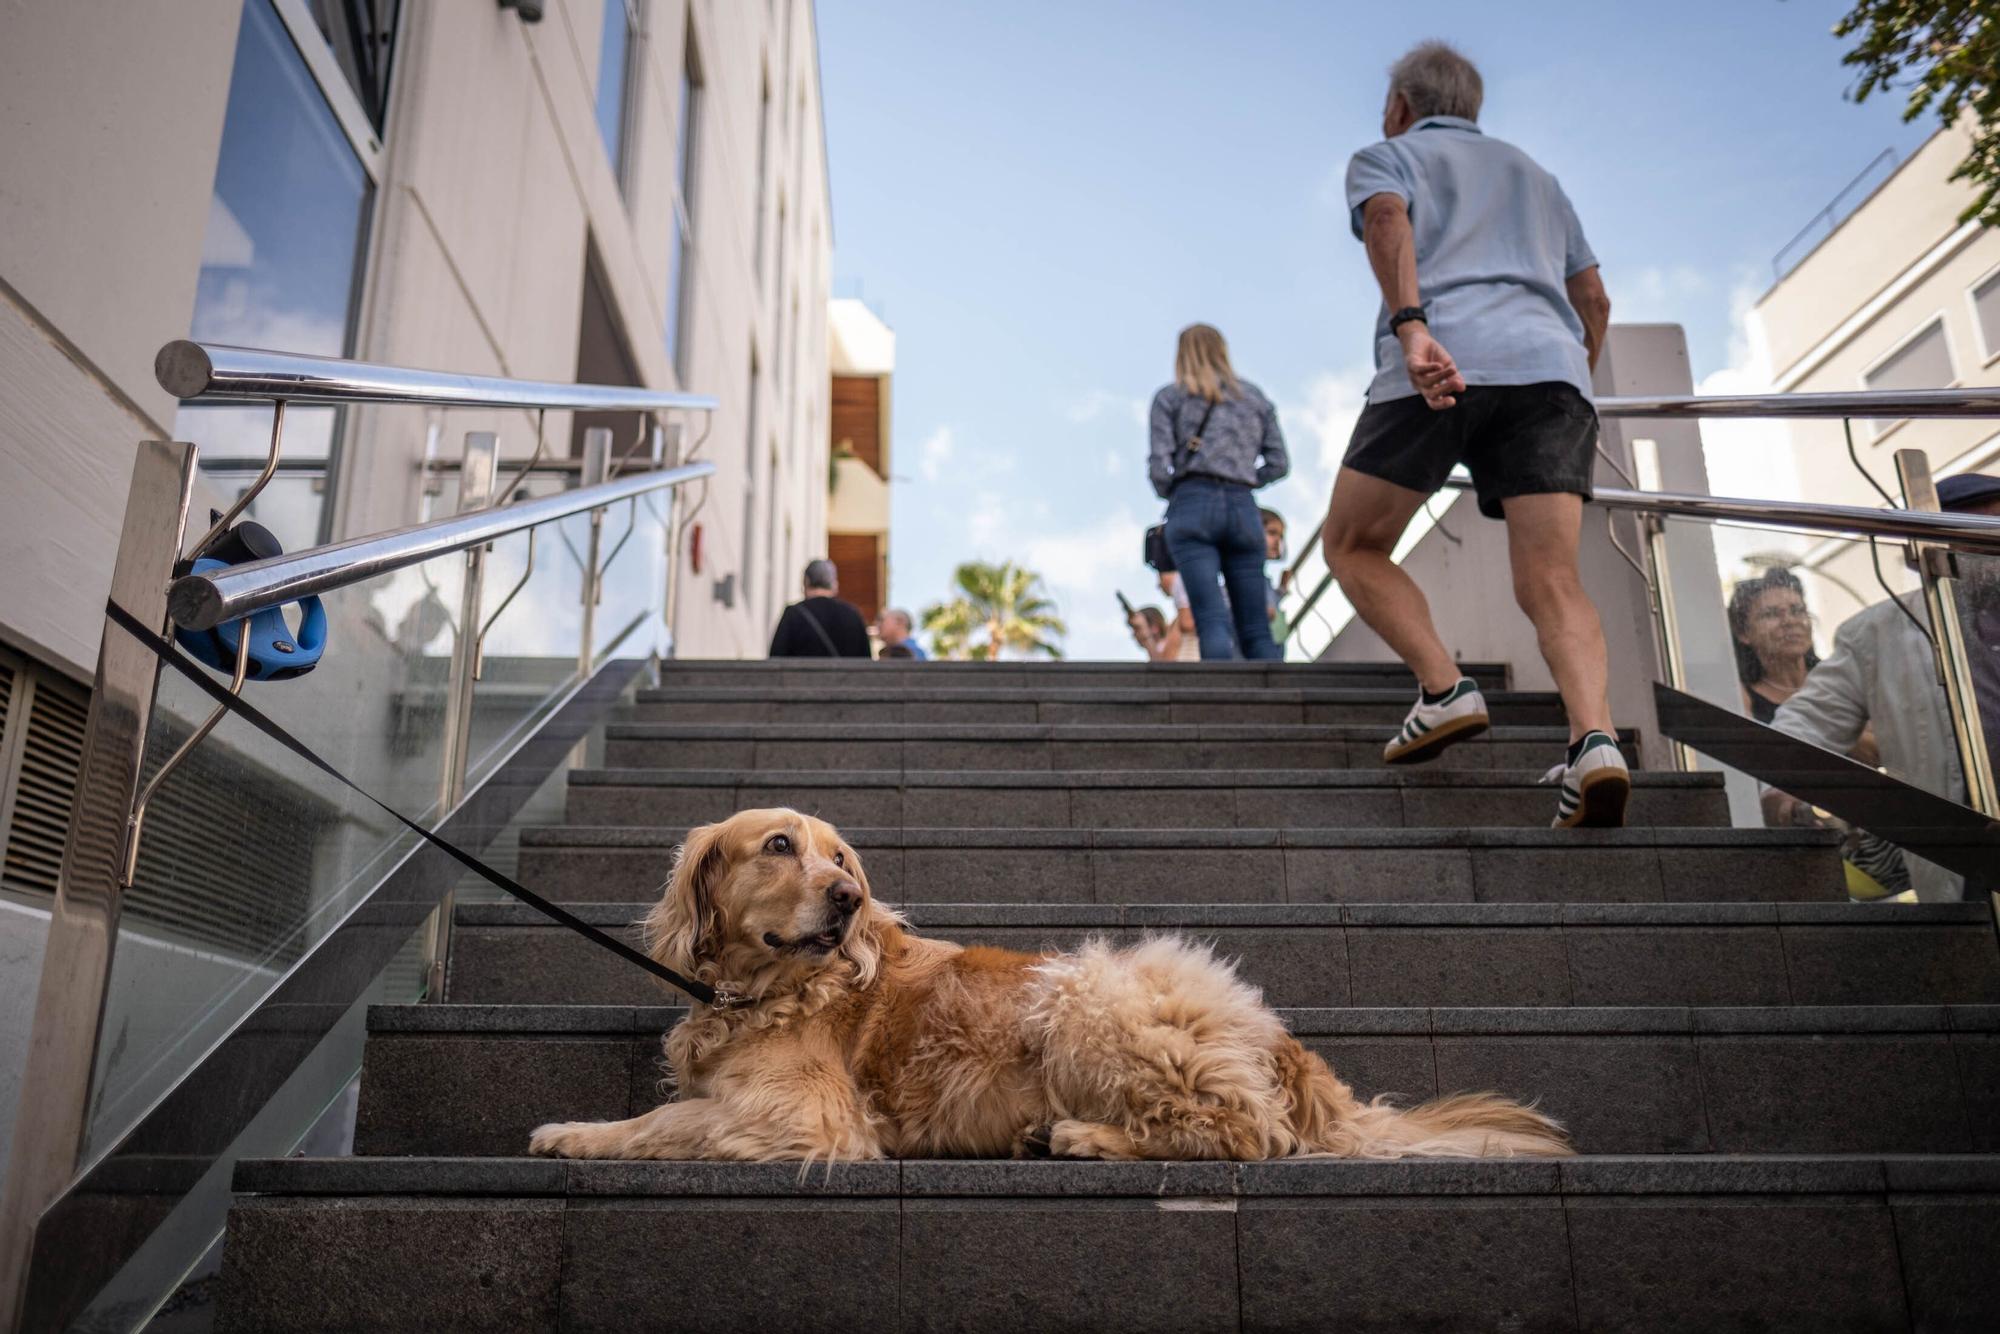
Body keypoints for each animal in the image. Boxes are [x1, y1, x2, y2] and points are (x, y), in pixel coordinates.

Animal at [528, 808, 1560, 1160]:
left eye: (842, 856)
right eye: (780, 846)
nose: (849, 899)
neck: (772, 989)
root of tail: (1280, 1037)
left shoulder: (809, 1118)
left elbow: (673, 1121)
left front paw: (575, 1132)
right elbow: (681, 1108)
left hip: (1083, 998)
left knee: (1248, 1133)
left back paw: (1083, 1137)